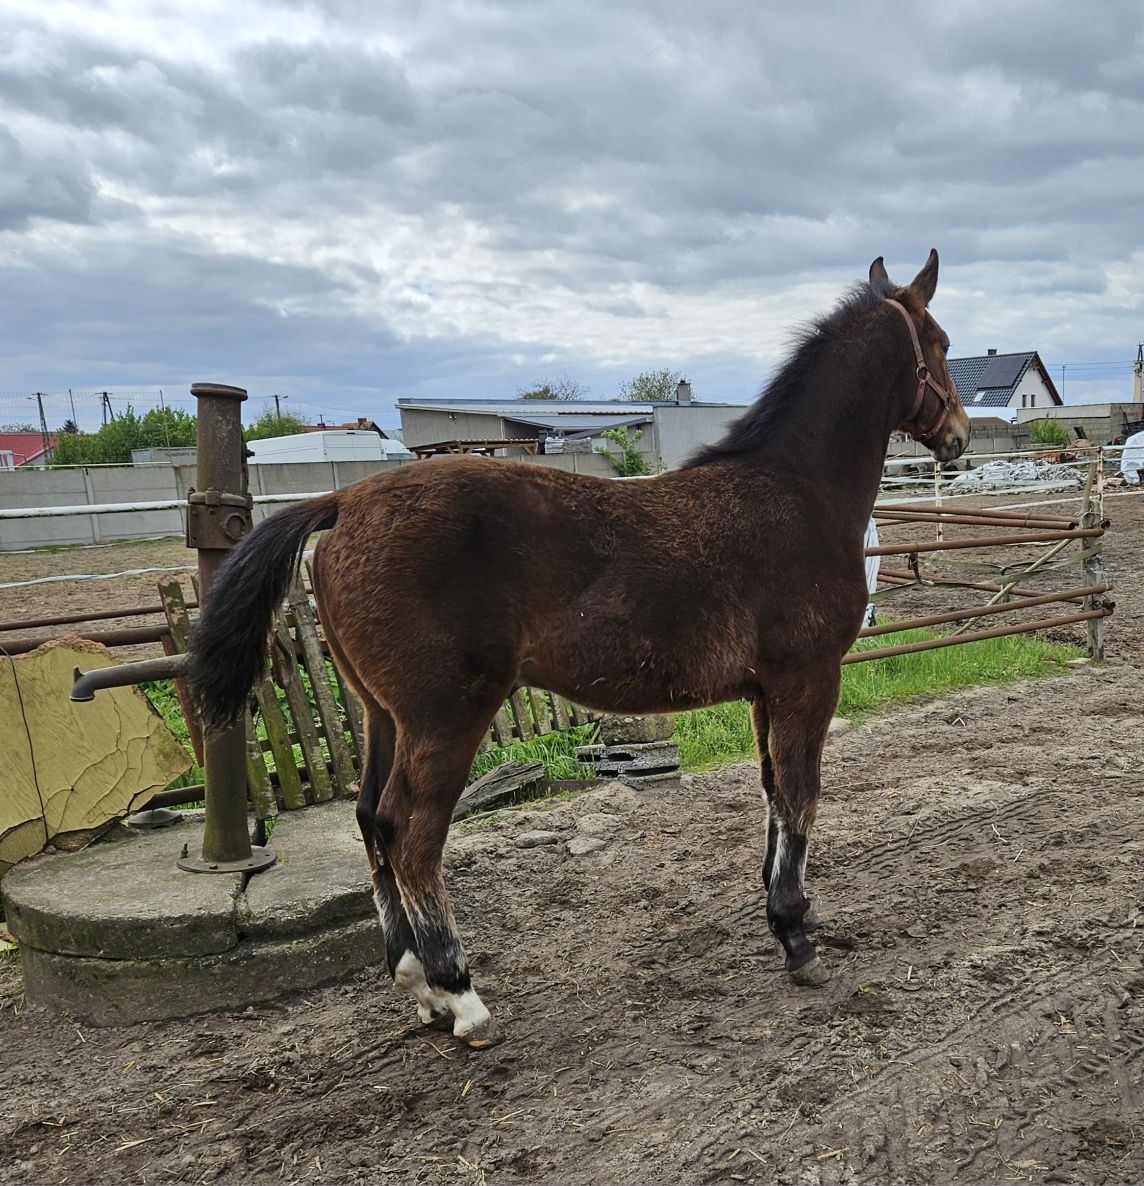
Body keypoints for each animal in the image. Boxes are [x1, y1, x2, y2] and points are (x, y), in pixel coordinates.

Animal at [187, 250, 962, 1048]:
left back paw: (417, 985)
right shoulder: (809, 679)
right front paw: (798, 939)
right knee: (410, 833)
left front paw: (782, 923)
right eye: (941, 344)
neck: (797, 490)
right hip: (445, 717)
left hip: (382, 714)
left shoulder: (765, 691)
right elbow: (803, 796)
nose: (960, 437)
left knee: (372, 818)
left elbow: (776, 794)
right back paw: (460, 995)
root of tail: (343, 503)